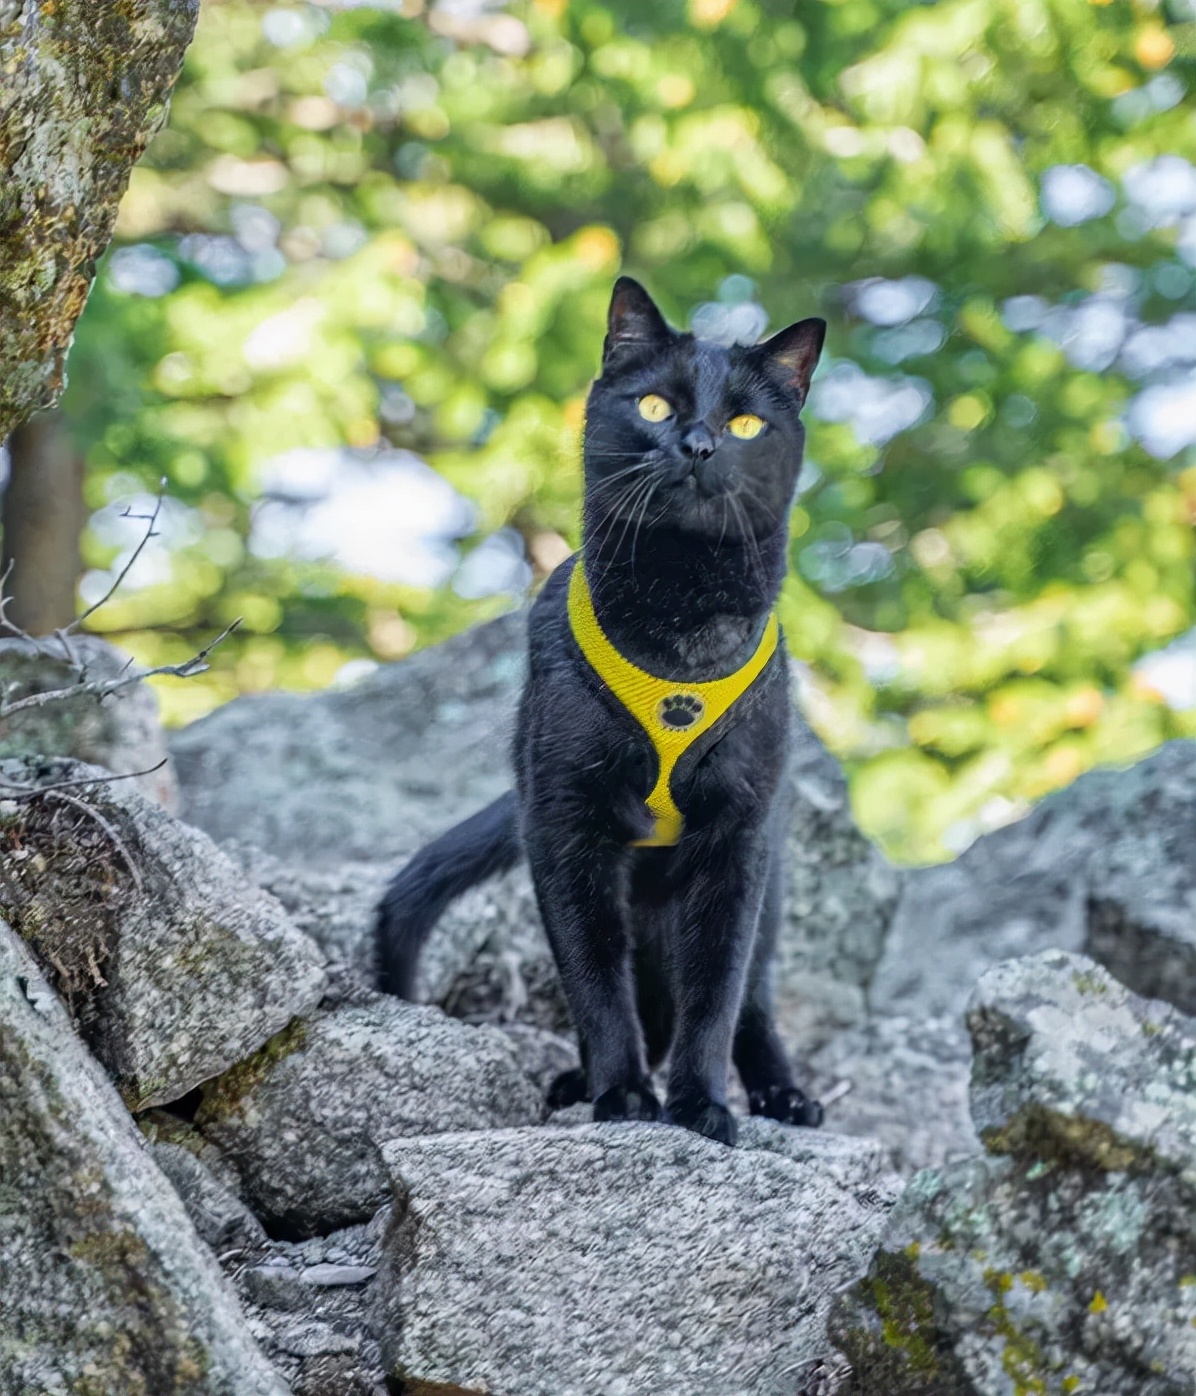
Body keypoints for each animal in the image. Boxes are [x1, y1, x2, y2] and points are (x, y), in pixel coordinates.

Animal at [376, 275, 826, 1144]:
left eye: (745, 423)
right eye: (654, 406)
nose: (697, 446)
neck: (679, 628)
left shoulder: (738, 838)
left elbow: (715, 992)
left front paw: (702, 1105)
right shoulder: (563, 821)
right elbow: (593, 977)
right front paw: (621, 1094)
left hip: (771, 884)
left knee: (750, 999)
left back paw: (784, 1095)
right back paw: (576, 1081)